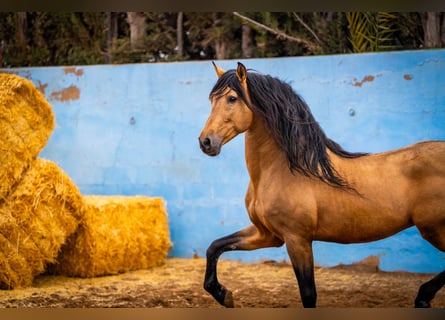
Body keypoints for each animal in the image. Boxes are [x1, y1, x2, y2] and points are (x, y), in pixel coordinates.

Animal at [199, 60, 444, 308]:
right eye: (212, 100)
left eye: (232, 98)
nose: (205, 142)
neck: (280, 170)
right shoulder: (267, 234)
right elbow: (214, 247)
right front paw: (223, 294)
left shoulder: (297, 239)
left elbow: (308, 293)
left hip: (434, 230)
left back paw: (423, 296)